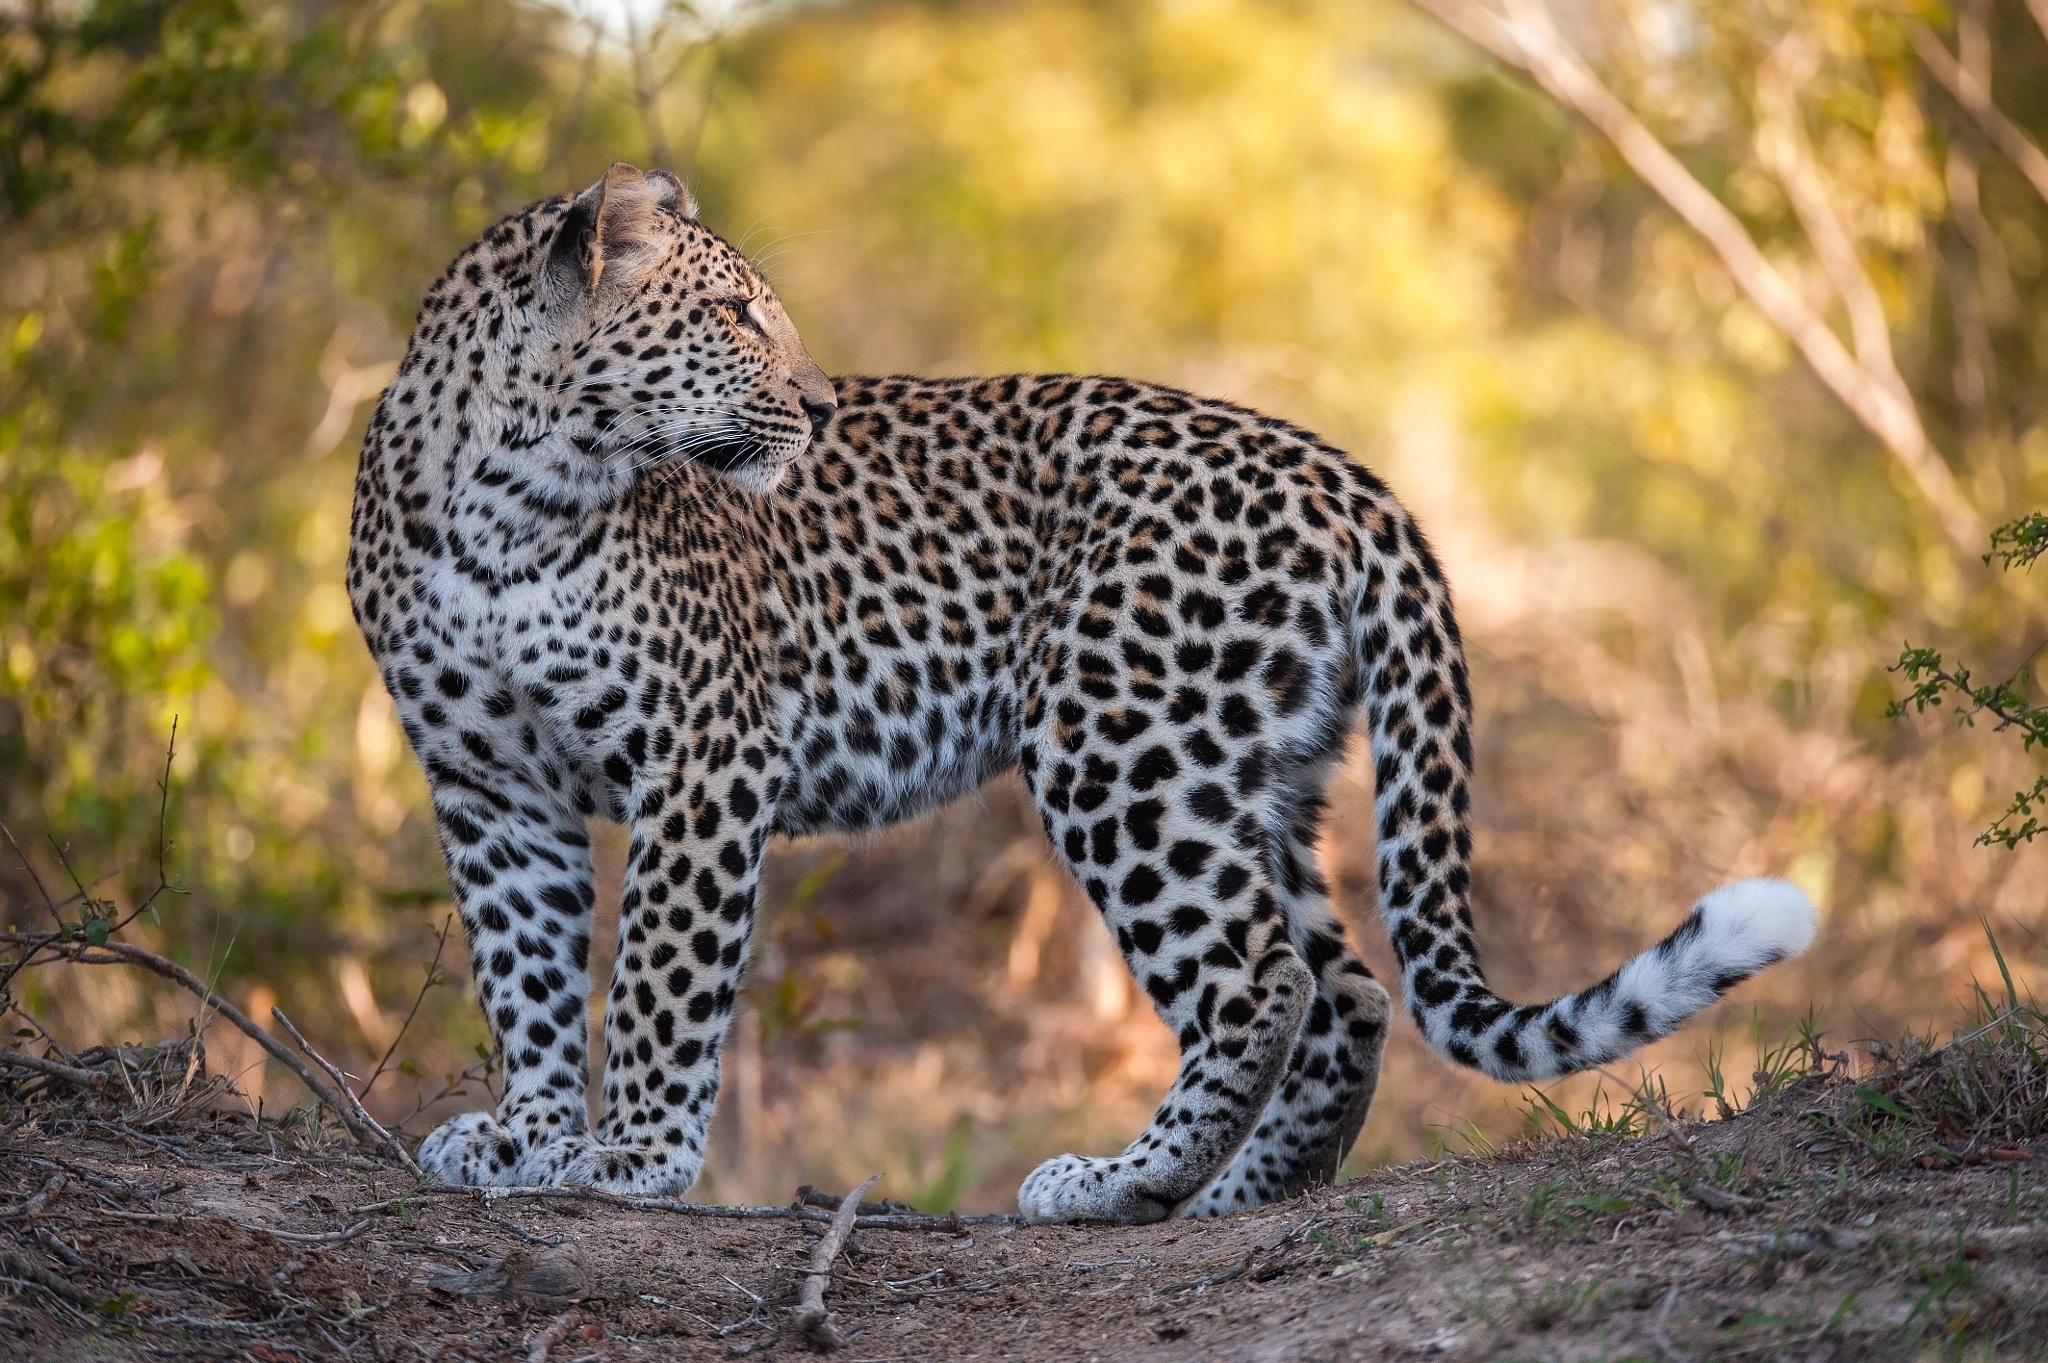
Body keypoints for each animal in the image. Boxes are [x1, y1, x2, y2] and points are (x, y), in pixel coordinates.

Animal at [352, 161, 1826, 1219]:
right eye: (732, 316)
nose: (820, 408)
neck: (508, 499)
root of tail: (1344, 472)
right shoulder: (488, 784)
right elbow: (525, 971)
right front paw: (529, 1138)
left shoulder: (706, 752)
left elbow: (661, 967)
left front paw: (632, 1156)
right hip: (1247, 763)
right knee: (1346, 988)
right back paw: (1226, 1194)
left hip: (1120, 738)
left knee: (1261, 976)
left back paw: (1120, 1177)